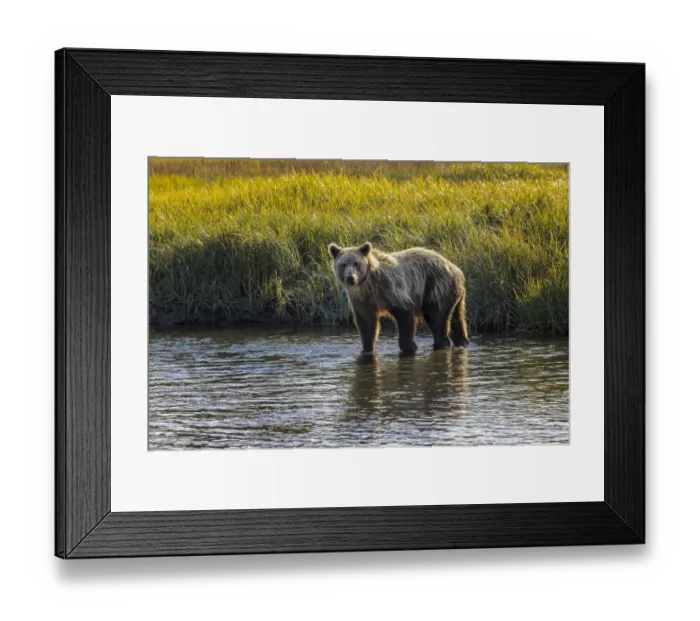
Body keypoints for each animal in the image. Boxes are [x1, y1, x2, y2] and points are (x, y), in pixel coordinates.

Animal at [328, 241, 469, 354]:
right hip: (455, 296)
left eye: (356, 263)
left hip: (436, 287)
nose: (350, 278)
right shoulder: (361, 300)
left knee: (437, 318)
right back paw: (462, 341)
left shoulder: (391, 288)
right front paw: (367, 348)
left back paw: (442, 343)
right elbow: (367, 323)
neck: (367, 285)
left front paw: (409, 346)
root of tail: (457, 270)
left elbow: (404, 314)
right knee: (457, 318)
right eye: (343, 264)